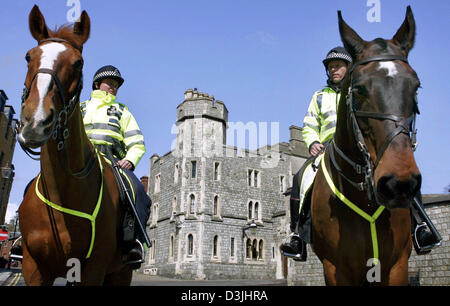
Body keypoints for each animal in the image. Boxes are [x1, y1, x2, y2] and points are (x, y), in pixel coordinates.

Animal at [18, 4, 134, 286]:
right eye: (28, 56)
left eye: (78, 62)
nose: (36, 121)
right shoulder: (33, 268)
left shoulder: (94, 268)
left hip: (120, 272)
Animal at [312, 5, 420, 286]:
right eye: (359, 89)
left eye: (416, 87)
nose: (399, 183)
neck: (363, 198)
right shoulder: (335, 268)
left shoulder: (397, 265)